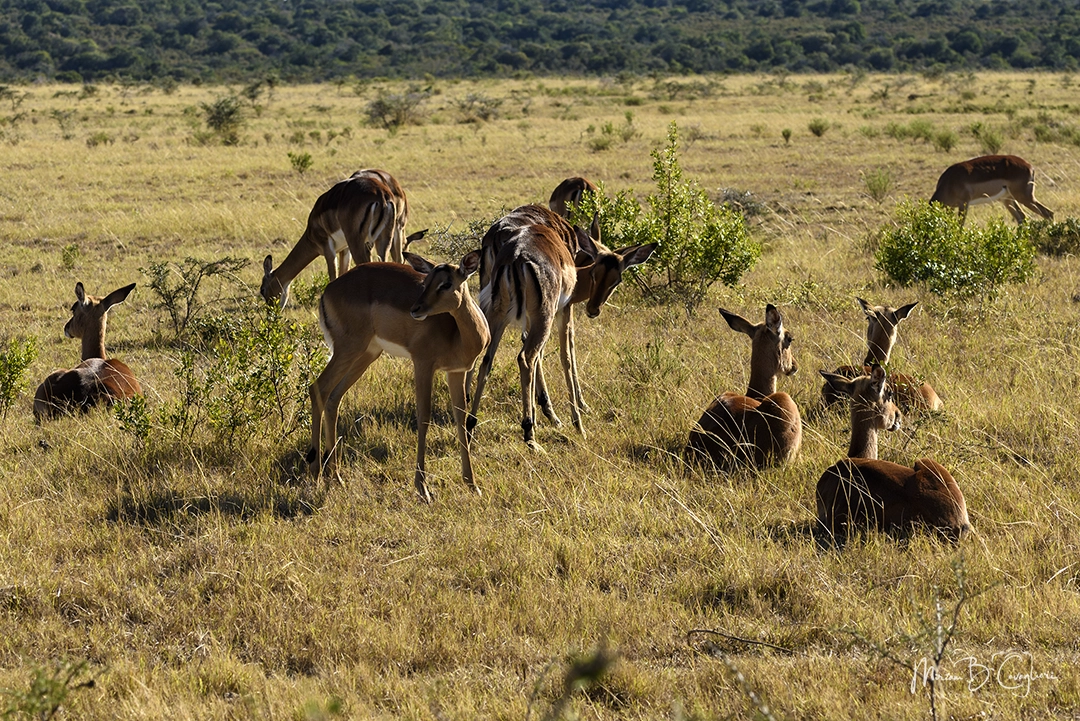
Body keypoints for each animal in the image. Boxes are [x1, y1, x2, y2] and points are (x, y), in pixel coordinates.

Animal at [261, 170, 421, 307]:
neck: (312, 231)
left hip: (358, 241)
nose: (271, 312)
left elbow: (333, 277)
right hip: (383, 240)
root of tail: (381, 195)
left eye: (262, 289)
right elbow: (343, 272)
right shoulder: (345, 249)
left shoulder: (328, 248)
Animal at [307, 251, 490, 503]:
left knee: (333, 397)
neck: (459, 334)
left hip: (367, 354)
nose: (416, 309)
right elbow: (424, 417)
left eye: (446, 283)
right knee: (318, 388)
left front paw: (472, 485)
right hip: (349, 349)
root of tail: (328, 290)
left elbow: (461, 419)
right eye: (425, 281)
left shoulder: (456, 372)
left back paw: (336, 477)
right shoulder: (422, 365)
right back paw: (316, 473)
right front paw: (423, 489)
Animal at [468, 221, 654, 449]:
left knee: (488, 360)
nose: (593, 309)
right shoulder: (564, 311)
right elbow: (567, 355)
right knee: (525, 358)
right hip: (543, 317)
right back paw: (530, 435)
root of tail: (516, 256)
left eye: (615, 279)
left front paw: (543, 415)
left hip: (499, 315)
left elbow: (540, 359)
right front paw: (578, 422)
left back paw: (470, 425)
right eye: (595, 274)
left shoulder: (530, 319)